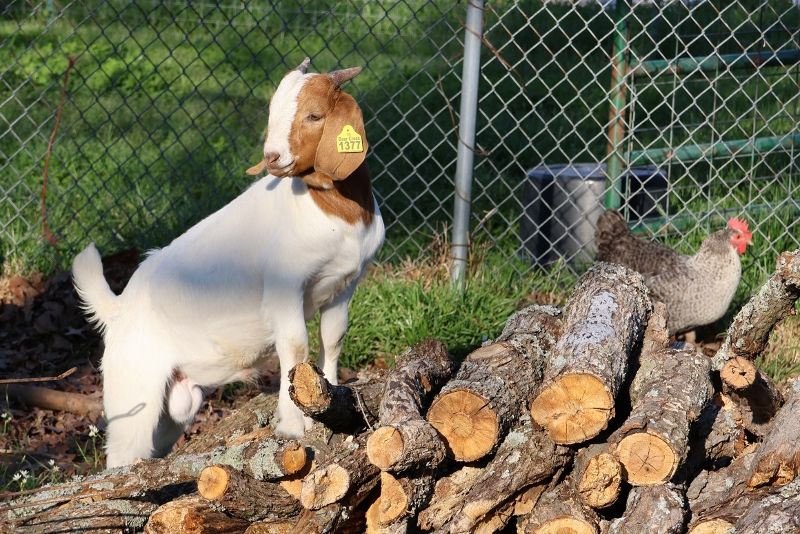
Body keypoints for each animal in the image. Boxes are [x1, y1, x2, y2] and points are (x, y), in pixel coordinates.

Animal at [72, 58, 385, 468]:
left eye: (315, 115)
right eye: (272, 110)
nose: (272, 157)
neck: (332, 210)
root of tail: (119, 308)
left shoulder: (345, 284)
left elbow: (332, 339)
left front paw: (330, 398)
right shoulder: (284, 288)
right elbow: (295, 347)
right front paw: (292, 425)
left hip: (177, 403)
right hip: (133, 389)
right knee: (123, 454)